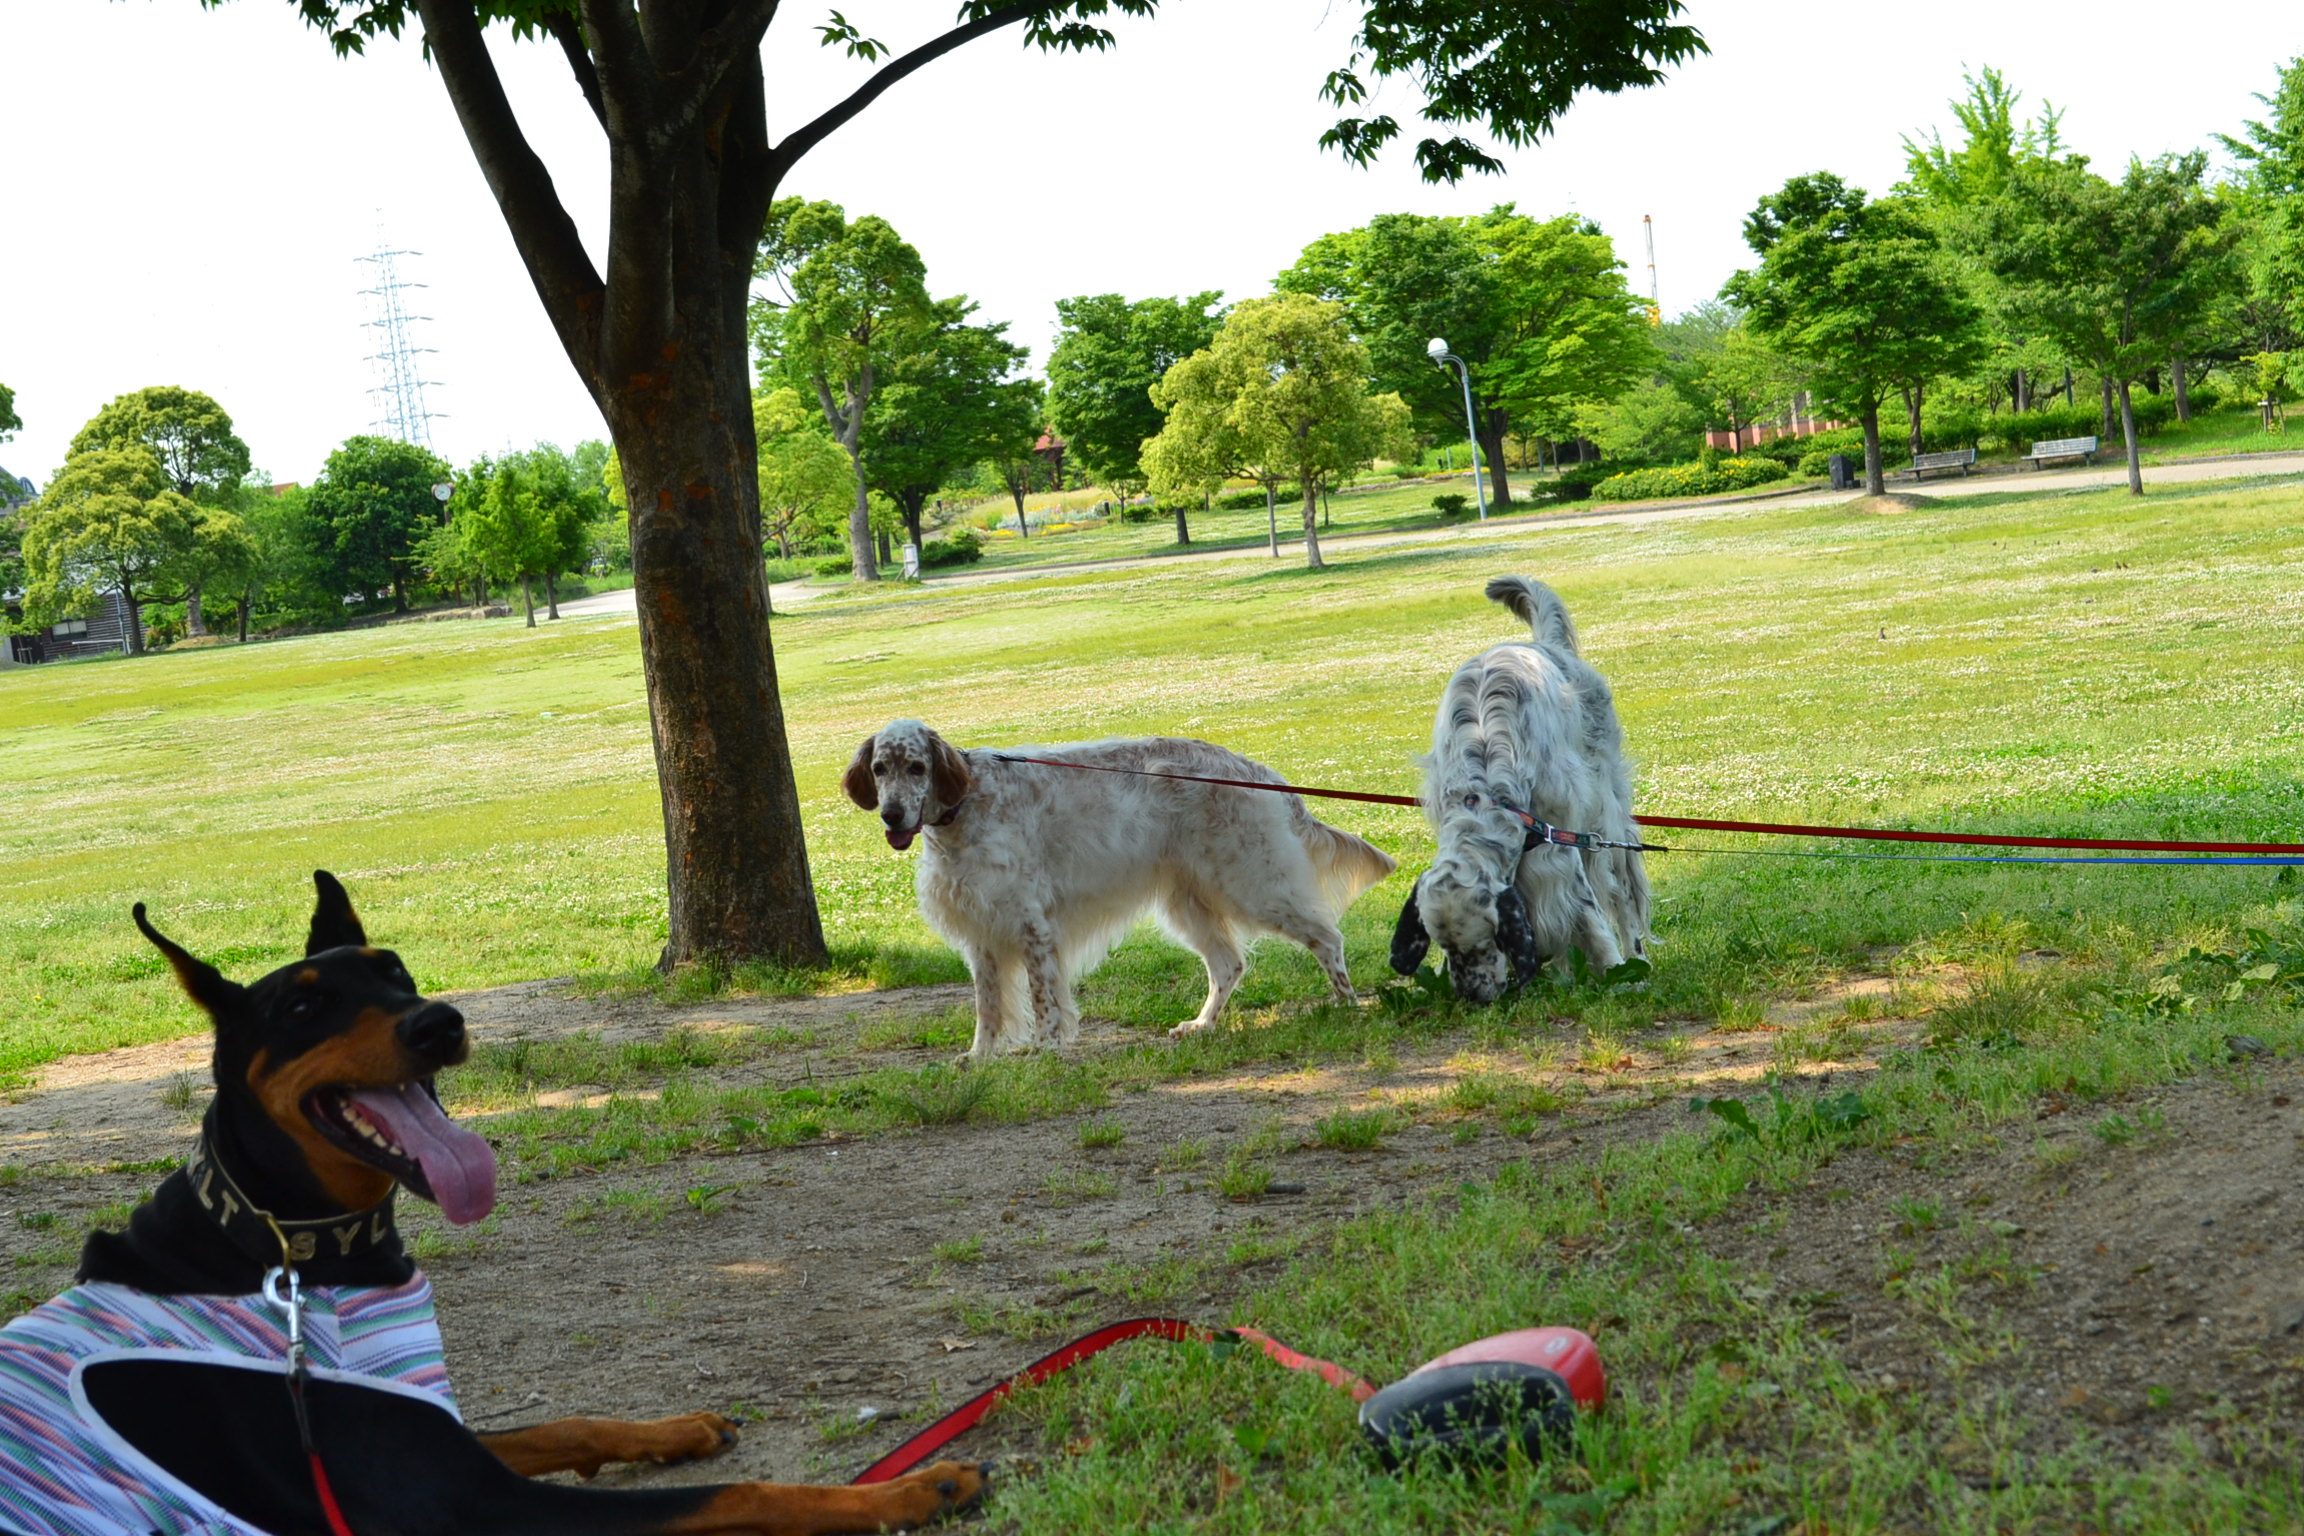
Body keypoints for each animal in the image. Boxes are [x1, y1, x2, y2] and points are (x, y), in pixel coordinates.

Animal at [0, 875, 981, 1536]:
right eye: (301, 1009)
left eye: (395, 970)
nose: (438, 1021)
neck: (291, 1249)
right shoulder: (471, 1505)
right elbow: (736, 1495)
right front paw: (906, 1489)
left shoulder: (444, 1437)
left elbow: (564, 1422)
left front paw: (677, 1428)